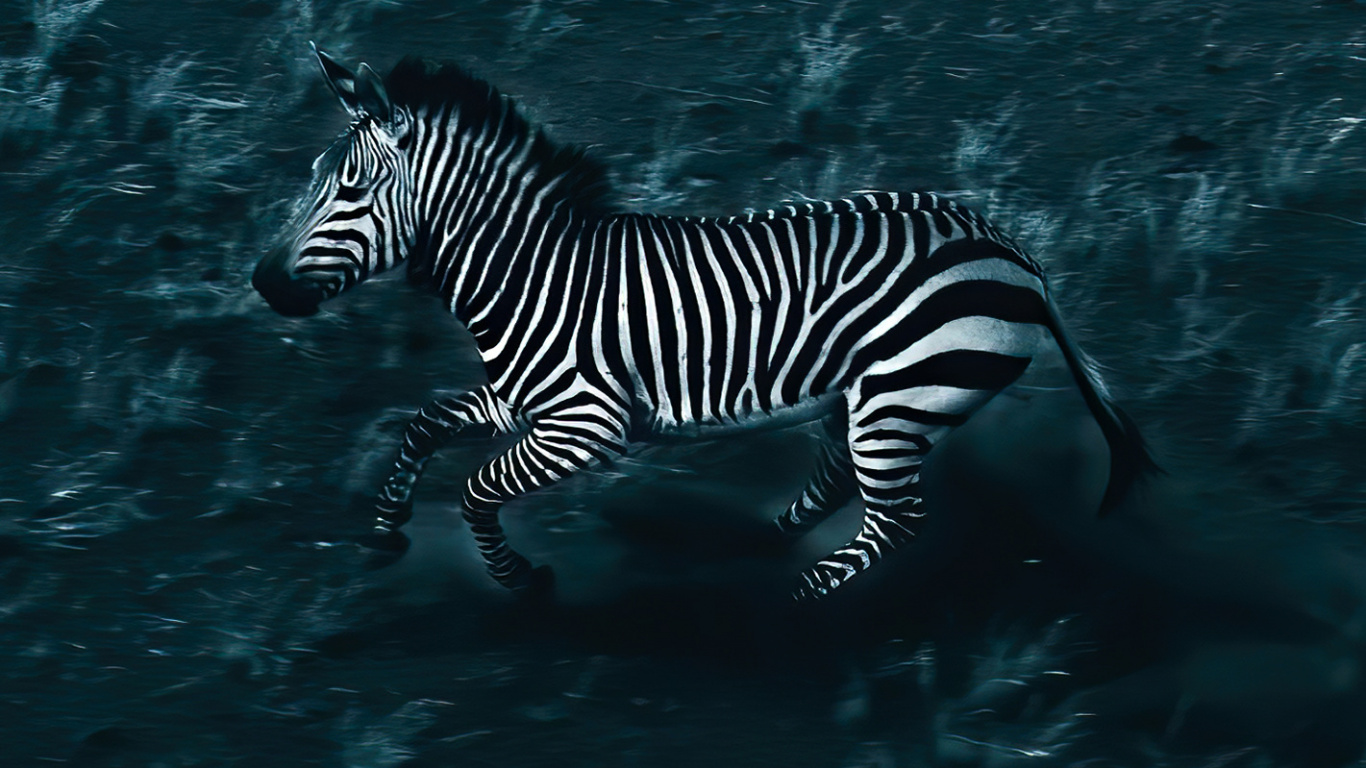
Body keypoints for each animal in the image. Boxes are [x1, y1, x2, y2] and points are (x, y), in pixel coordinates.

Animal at [253, 47, 1156, 601]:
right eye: (312, 176)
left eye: (350, 191)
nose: (262, 284)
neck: (530, 273)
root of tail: (1015, 251)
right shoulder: (523, 402)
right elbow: (422, 423)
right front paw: (384, 530)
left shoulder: (587, 425)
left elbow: (475, 488)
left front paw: (520, 581)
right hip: (867, 396)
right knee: (843, 483)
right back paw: (761, 542)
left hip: (902, 394)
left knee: (897, 518)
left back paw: (793, 599)